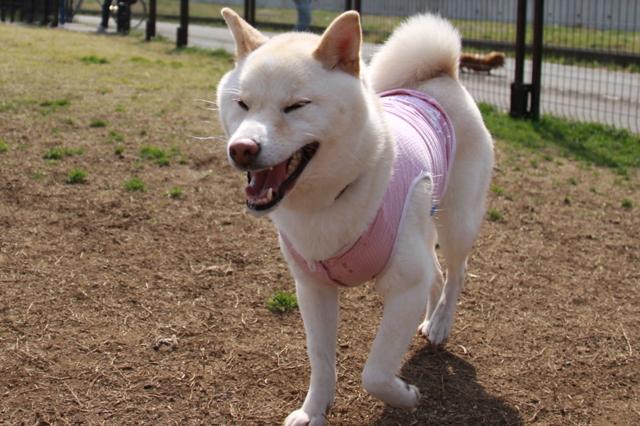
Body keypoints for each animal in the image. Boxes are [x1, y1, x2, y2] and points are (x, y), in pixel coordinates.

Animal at [217, 9, 493, 424]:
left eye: (297, 106)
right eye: (242, 104)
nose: (242, 149)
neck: (328, 202)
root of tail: (440, 75)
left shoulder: (404, 290)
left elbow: (375, 373)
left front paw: (405, 396)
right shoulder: (313, 289)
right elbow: (321, 362)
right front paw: (313, 411)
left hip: (458, 220)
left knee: (457, 272)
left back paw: (441, 323)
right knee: (437, 273)